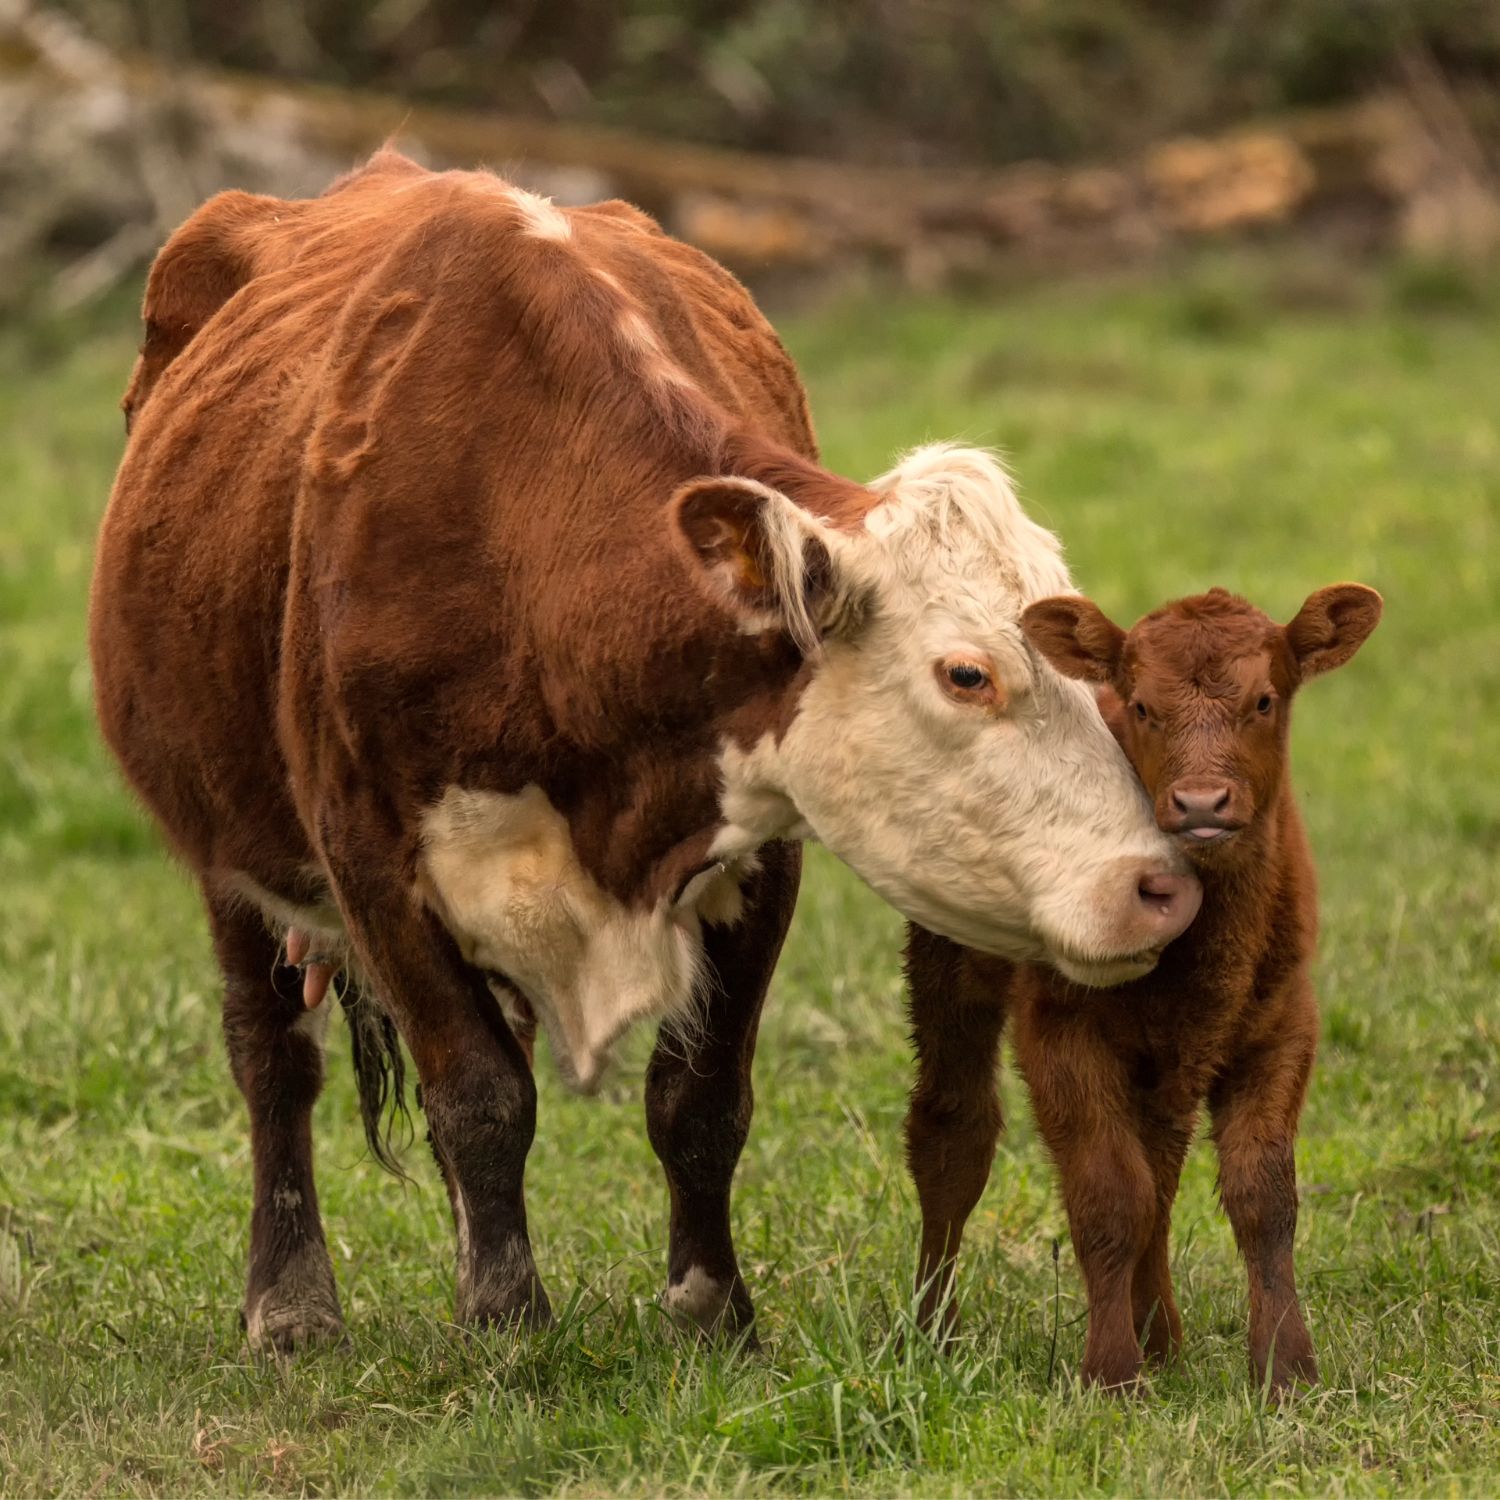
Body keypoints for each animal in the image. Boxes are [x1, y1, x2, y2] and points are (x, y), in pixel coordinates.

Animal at [90, 152, 1194, 1350]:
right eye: (967, 674)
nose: (1160, 886)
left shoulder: (760, 844)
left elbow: (697, 1098)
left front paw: (710, 1308)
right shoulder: (371, 859)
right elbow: (479, 1094)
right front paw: (508, 1321)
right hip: (229, 853)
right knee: (273, 1057)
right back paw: (291, 1302)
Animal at [900, 582, 1380, 1392]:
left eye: (1264, 700)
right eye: (1144, 707)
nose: (1202, 803)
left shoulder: (1283, 1024)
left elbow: (1261, 1196)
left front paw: (1286, 1368)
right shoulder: (1060, 1028)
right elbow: (1108, 1196)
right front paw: (1111, 1372)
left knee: (1160, 1164)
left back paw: (1163, 1337)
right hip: (949, 960)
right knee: (953, 1133)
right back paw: (933, 1332)